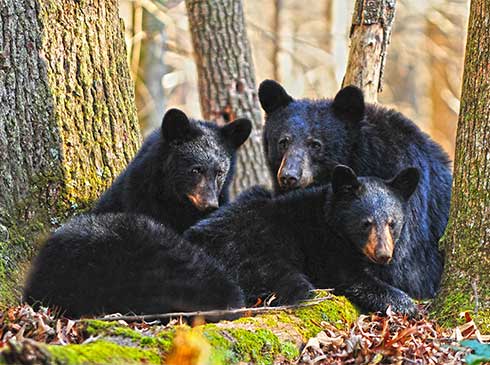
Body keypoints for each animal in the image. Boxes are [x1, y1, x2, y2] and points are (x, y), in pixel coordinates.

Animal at [187, 166, 422, 316]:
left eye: (392, 223)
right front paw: (405, 304)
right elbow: (351, 278)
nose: (383, 255)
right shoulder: (326, 248)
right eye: (366, 223)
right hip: (248, 252)